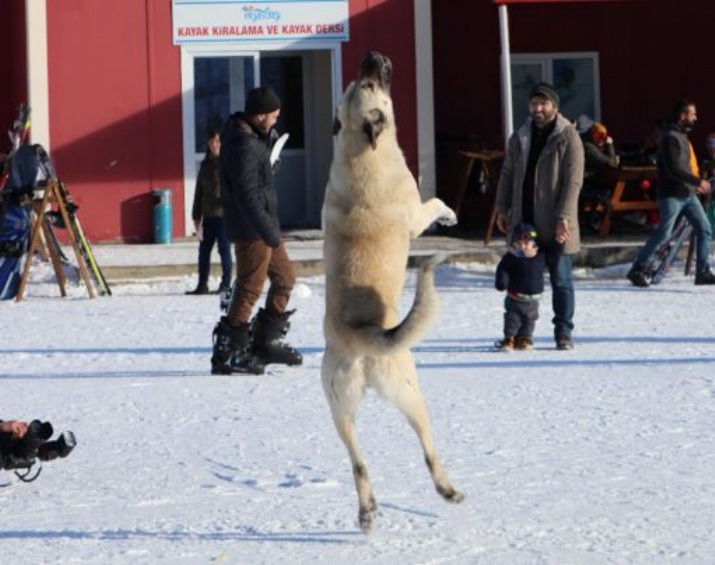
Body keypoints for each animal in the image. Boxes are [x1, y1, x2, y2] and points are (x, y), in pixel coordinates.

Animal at [322, 50, 468, 532]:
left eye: (357, 83)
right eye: (370, 86)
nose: (372, 57)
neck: (357, 146)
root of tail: (360, 339)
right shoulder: (415, 213)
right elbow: (436, 202)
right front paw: (451, 214)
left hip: (338, 408)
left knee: (357, 461)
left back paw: (367, 511)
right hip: (410, 389)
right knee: (427, 447)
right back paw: (448, 490)